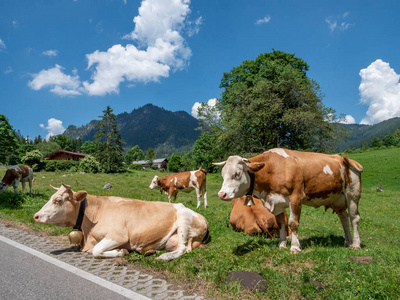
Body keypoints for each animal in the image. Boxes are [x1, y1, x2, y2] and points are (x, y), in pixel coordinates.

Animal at [34, 183, 209, 260]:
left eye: (57, 200)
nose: (36, 215)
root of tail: (202, 218)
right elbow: (93, 250)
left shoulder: (118, 236)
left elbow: (96, 251)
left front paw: (121, 252)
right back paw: (151, 252)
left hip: (184, 222)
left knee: (183, 249)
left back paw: (163, 257)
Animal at [214, 149, 364, 252]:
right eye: (222, 174)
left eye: (237, 173)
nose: (222, 194)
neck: (273, 169)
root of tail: (342, 158)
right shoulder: (277, 202)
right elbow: (281, 224)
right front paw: (282, 244)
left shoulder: (296, 198)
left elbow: (293, 224)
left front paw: (295, 247)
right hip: (338, 199)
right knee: (344, 219)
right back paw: (347, 241)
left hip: (352, 194)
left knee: (354, 218)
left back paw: (356, 244)